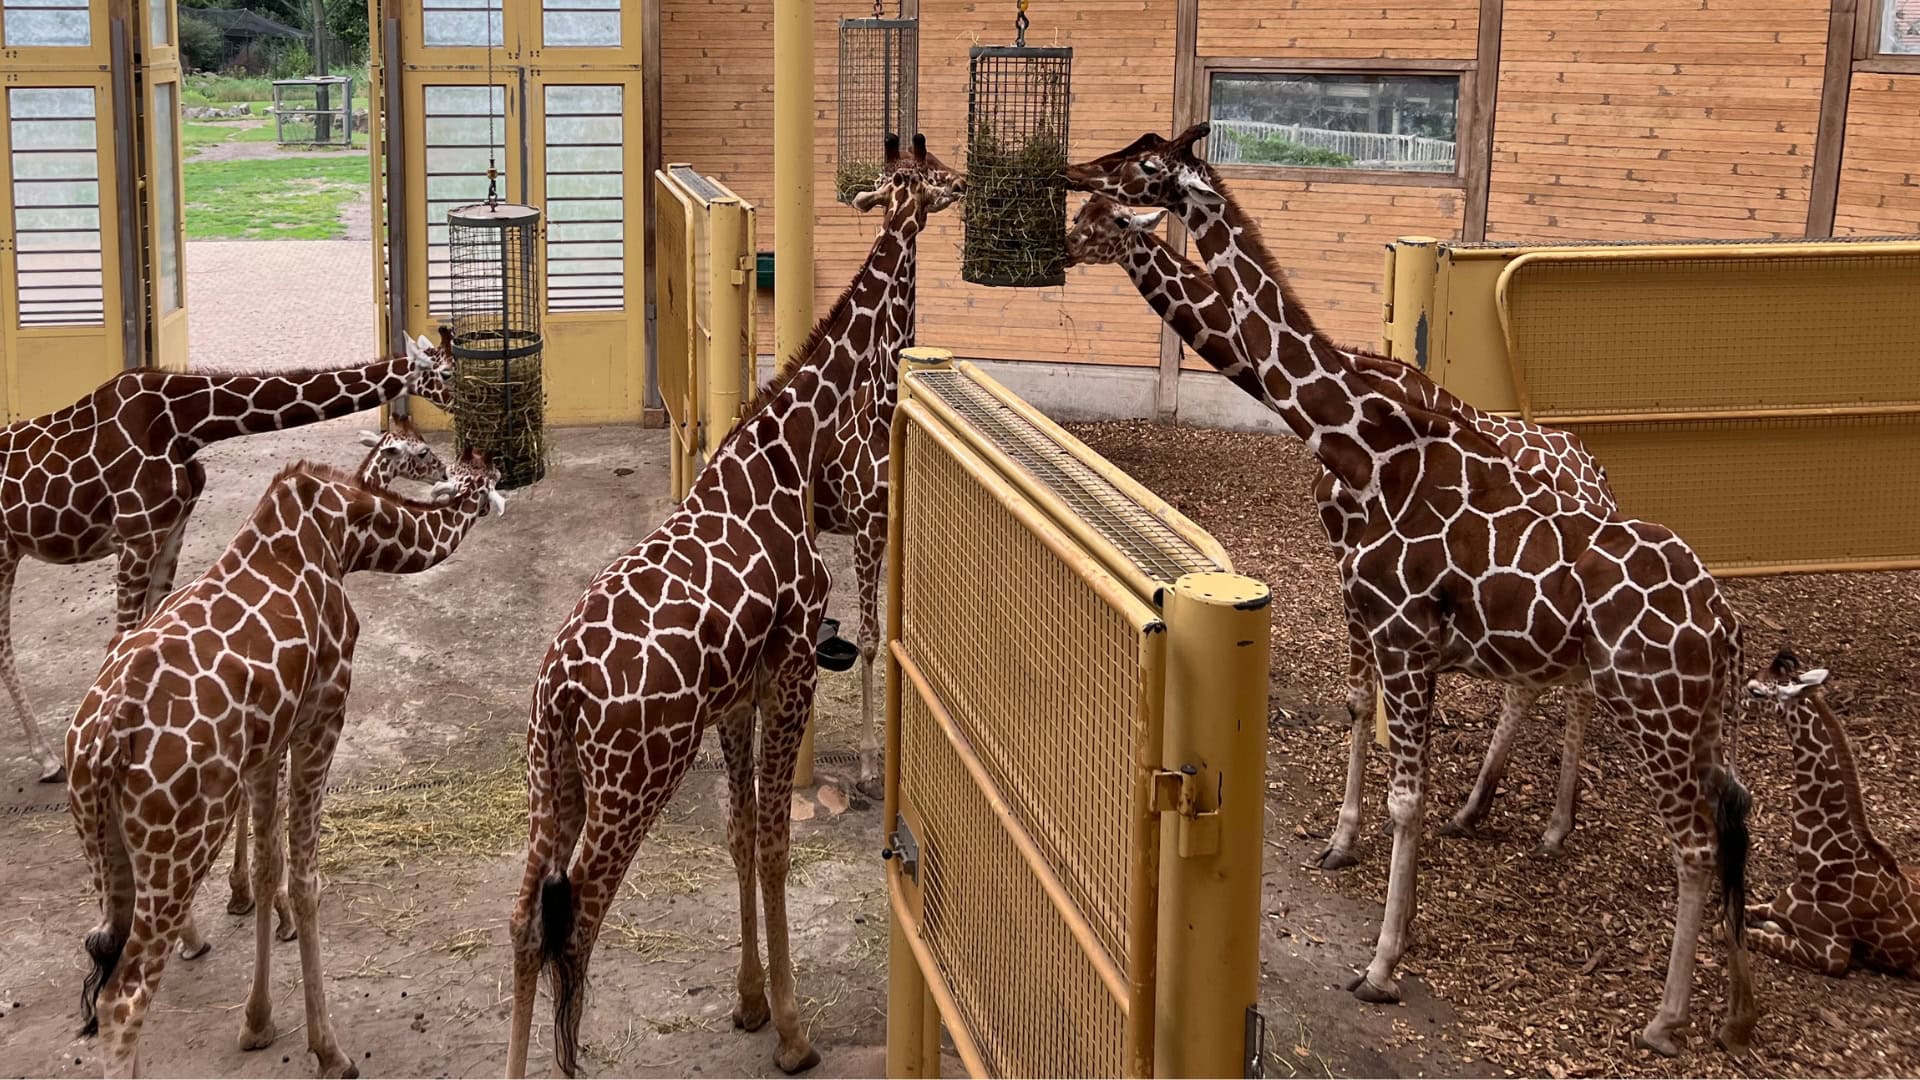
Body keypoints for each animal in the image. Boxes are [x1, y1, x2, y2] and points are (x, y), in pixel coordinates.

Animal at [2, 341, 454, 783]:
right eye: (448, 372)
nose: (458, 402)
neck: (186, 423)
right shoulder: (135, 533)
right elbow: (121, 637)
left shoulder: (172, 528)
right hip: (6, 549)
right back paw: (48, 759)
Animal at [504, 147, 953, 1079]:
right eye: (929, 174)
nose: (961, 185)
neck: (791, 447)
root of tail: (560, 691)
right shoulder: (791, 672)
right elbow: (776, 845)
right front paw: (792, 1032)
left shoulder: (737, 698)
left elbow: (742, 838)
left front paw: (749, 1003)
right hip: (632, 780)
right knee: (578, 924)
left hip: (550, 778)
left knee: (526, 922)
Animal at [1063, 192, 1605, 860]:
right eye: (1082, 213)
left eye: (1113, 220)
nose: (1064, 246)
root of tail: (1599, 476)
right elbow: (1360, 699)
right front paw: (1349, 834)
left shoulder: (1366, 564)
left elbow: (1372, 705)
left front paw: (1350, 836)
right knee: (1534, 684)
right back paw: (1474, 811)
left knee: (1576, 688)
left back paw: (1554, 827)